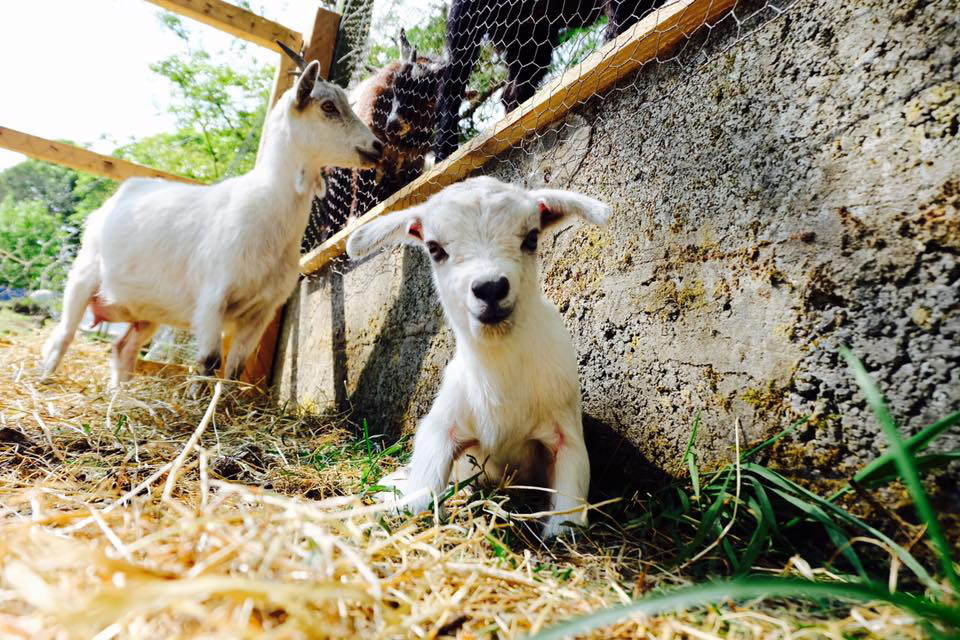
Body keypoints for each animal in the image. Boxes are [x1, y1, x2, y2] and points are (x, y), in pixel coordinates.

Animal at [41, 58, 383, 388]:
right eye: (328, 106)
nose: (377, 146)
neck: (267, 211)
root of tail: (117, 196)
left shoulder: (261, 312)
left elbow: (233, 371)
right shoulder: (212, 300)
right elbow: (208, 363)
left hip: (147, 310)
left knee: (123, 348)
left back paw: (119, 396)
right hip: (83, 276)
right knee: (63, 334)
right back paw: (46, 378)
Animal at [346, 176, 610, 538]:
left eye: (531, 238)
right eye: (434, 249)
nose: (490, 288)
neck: (500, 370)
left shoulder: (565, 433)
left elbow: (568, 513)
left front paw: (562, 532)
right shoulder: (441, 426)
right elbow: (420, 496)